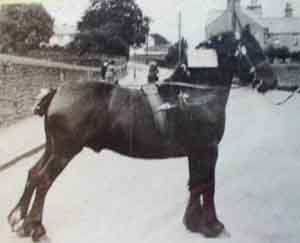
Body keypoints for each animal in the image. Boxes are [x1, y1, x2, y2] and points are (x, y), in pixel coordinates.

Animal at [8, 26, 274, 241]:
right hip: (64, 150)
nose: (270, 81)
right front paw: (213, 226)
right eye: (253, 47)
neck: (194, 93)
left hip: (51, 147)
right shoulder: (208, 150)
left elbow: (195, 184)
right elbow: (207, 185)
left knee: (34, 173)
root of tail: (57, 91)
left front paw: (193, 223)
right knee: (44, 180)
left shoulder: (196, 152)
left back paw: (19, 219)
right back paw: (36, 228)